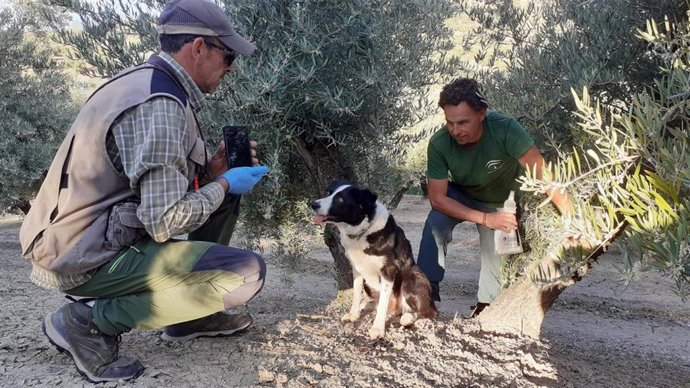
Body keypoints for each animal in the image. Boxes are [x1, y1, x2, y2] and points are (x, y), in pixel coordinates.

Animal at [310, 180, 436, 338]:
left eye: (340, 199)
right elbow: (356, 293)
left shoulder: (389, 270)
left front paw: (378, 328)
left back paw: (407, 317)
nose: (312, 204)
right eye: (329, 193)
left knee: (426, 311)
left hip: (413, 278)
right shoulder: (356, 268)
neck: (361, 231)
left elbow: (383, 302)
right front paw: (354, 315)